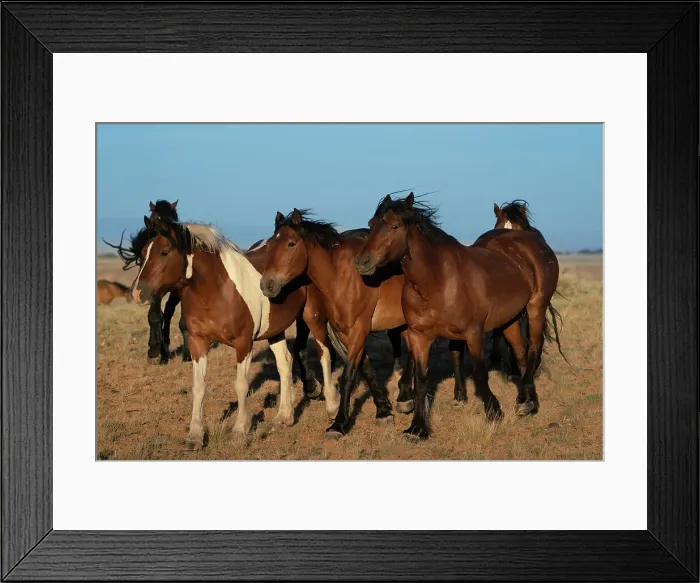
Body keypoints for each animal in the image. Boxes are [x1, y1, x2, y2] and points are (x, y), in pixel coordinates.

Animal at [128, 213, 334, 450]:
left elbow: (241, 385)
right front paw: (195, 435)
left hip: (313, 318)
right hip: (275, 329)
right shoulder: (198, 342)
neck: (217, 289)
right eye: (143, 253)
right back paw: (284, 416)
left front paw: (240, 430)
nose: (137, 293)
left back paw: (332, 406)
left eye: (164, 252)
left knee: (324, 354)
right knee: (285, 363)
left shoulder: (244, 343)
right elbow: (199, 386)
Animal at [259, 209, 470, 438]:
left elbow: (348, 375)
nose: (266, 284)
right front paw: (383, 410)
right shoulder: (345, 333)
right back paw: (405, 397)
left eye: (291, 243)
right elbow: (366, 368)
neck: (340, 276)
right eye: (270, 245)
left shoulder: (358, 330)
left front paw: (339, 424)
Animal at [355, 193, 562, 440]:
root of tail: (533, 244)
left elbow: (481, 374)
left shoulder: (473, 333)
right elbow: (421, 380)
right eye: (371, 225)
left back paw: (530, 402)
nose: (362, 262)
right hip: (509, 318)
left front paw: (493, 412)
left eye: (394, 226)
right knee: (521, 351)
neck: (437, 281)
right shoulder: (418, 336)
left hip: (536, 307)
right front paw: (417, 428)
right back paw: (525, 400)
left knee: (534, 348)